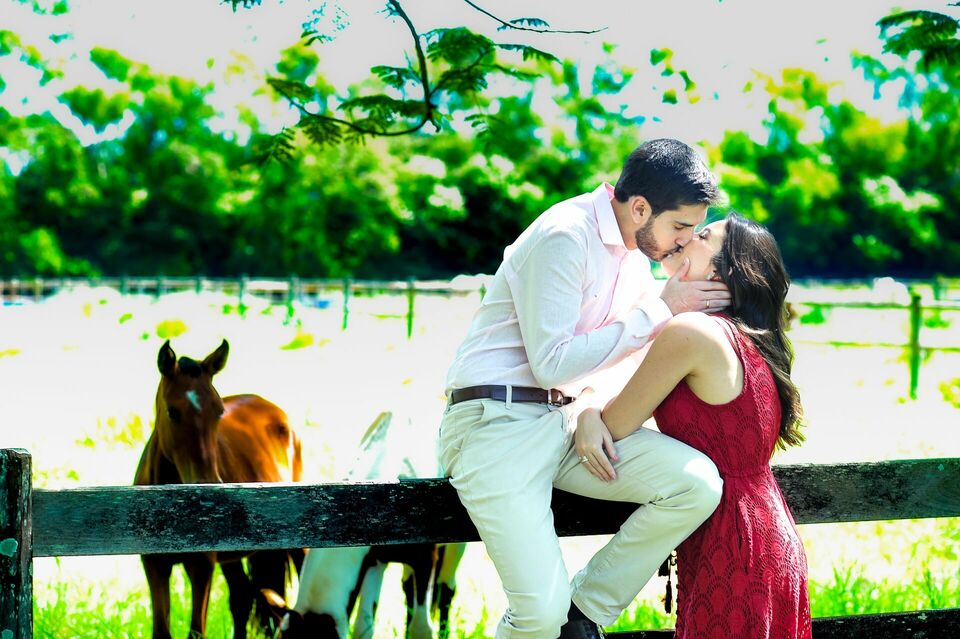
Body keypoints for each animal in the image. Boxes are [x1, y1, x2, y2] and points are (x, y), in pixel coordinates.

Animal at [134, 339, 304, 639]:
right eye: (172, 411)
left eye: (218, 411)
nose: (208, 484)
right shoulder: (154, 566)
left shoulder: (202, 565)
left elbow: (196, 632)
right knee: (242, 598)